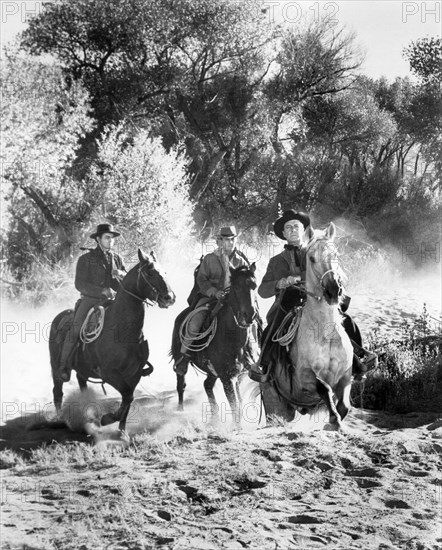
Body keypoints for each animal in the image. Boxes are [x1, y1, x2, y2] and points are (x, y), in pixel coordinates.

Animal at [50, 250, 176, 436]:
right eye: (150, 272)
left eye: (165, 272)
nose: (170, 297)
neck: (122, 331)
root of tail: (60, 316)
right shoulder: (109, 374)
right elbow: (127, 395)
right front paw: (108, 418)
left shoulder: (134, 374)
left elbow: (128, 398)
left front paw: (122, 431)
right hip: (55, 367)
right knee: (57, 391)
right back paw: (61, 419)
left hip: (82, 368)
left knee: (82, 384)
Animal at [171, 266, 258, 430]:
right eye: (236, 287)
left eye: (254, 286)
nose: (249, 315)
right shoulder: (227, 377)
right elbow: (234, 402)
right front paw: (237, 427)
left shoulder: (239, 374)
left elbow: (239, 399)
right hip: (182, 360)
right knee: (181, 382)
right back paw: (180, 410)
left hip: (212, 371)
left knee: (207, 385)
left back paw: (214, 417)